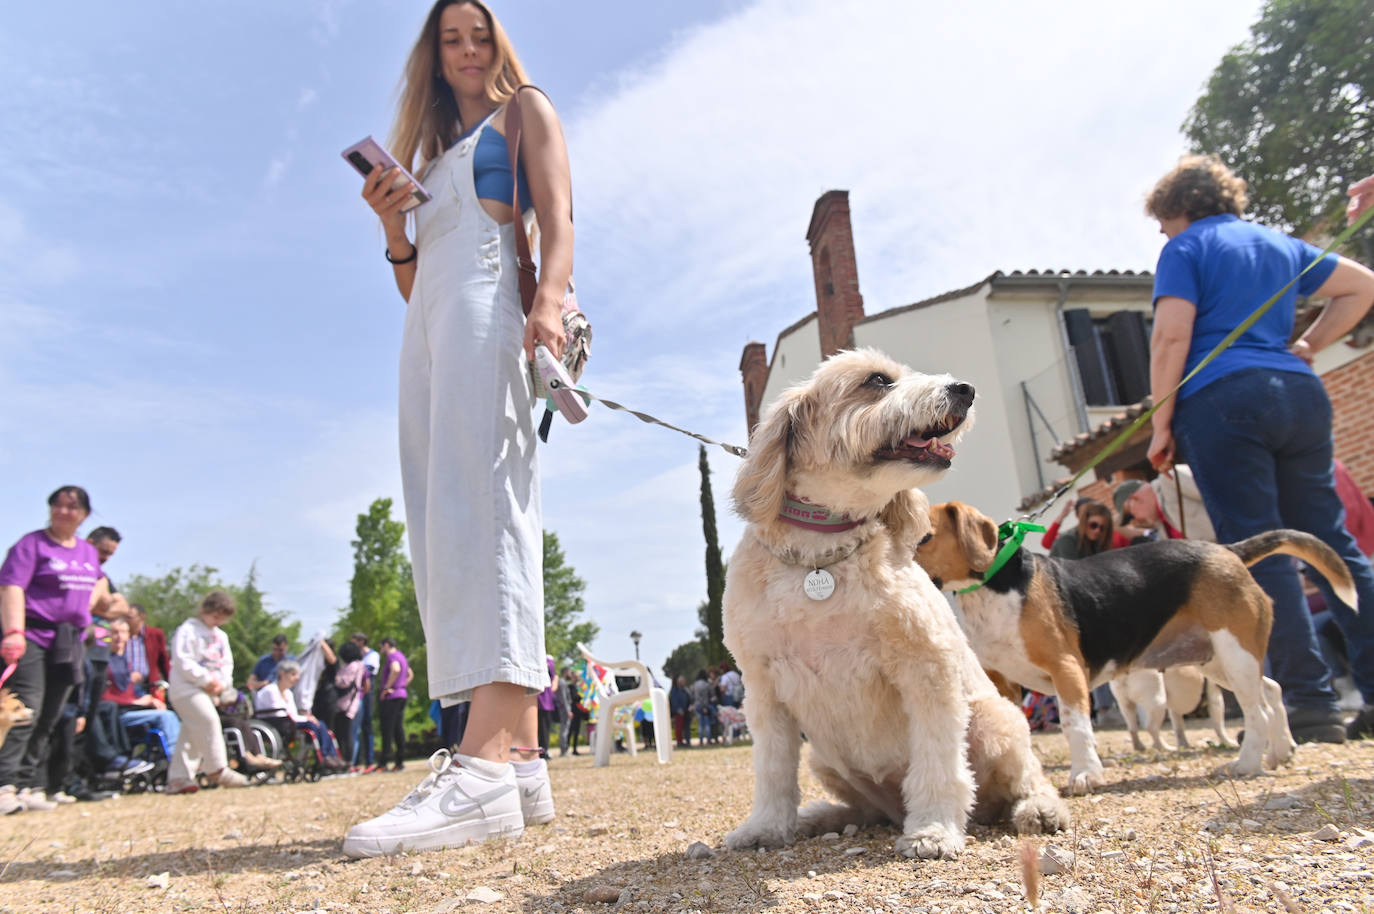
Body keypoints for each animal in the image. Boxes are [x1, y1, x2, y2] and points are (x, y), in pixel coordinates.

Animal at [725, 350, 1066, 863]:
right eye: (877, 380)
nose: (965, 389)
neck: (819, 558)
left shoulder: (928, 669)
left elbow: (939, 762)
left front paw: (934, 830)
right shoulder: (764, 688)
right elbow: (772, 769)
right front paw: (766, 826)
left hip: (998, 720)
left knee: (1026, 778)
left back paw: (1039, 809)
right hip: (825, 761)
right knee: (865, 811)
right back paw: (819, 818)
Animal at [917, 500, 1357, 791]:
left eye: (924, 536)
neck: (991, 585)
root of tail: (1226, 550)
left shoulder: (1066, 669)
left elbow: (1076, 726)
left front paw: (1086, 774)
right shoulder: (1001, 681)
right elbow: (1016, 729)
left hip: (1234, 654)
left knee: (1257, 711)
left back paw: (1246, 763)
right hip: (1219, 659)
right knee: (1274, 690)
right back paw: (1281, 751)